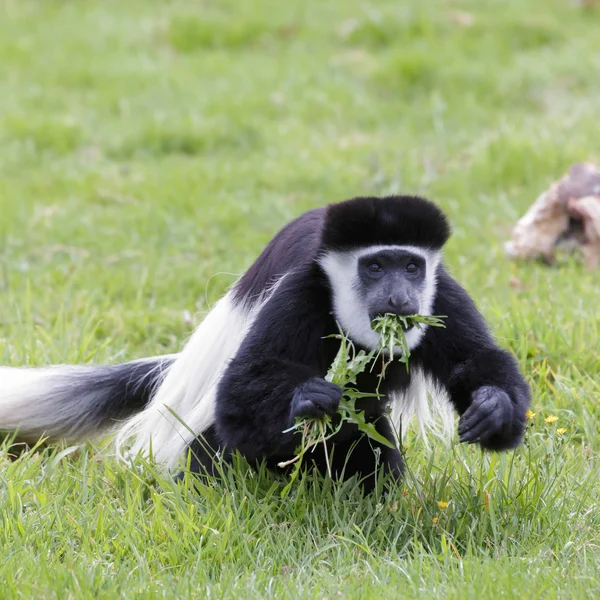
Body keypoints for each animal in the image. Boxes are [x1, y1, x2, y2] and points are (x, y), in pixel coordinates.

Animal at [0, 197, 528, 488]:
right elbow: (241, 392)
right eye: (375, 267)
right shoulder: (299, 294)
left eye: (412, 266)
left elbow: (476, 361)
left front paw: (493, 406)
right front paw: (309, 399)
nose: (399, 297)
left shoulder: (443, 297)